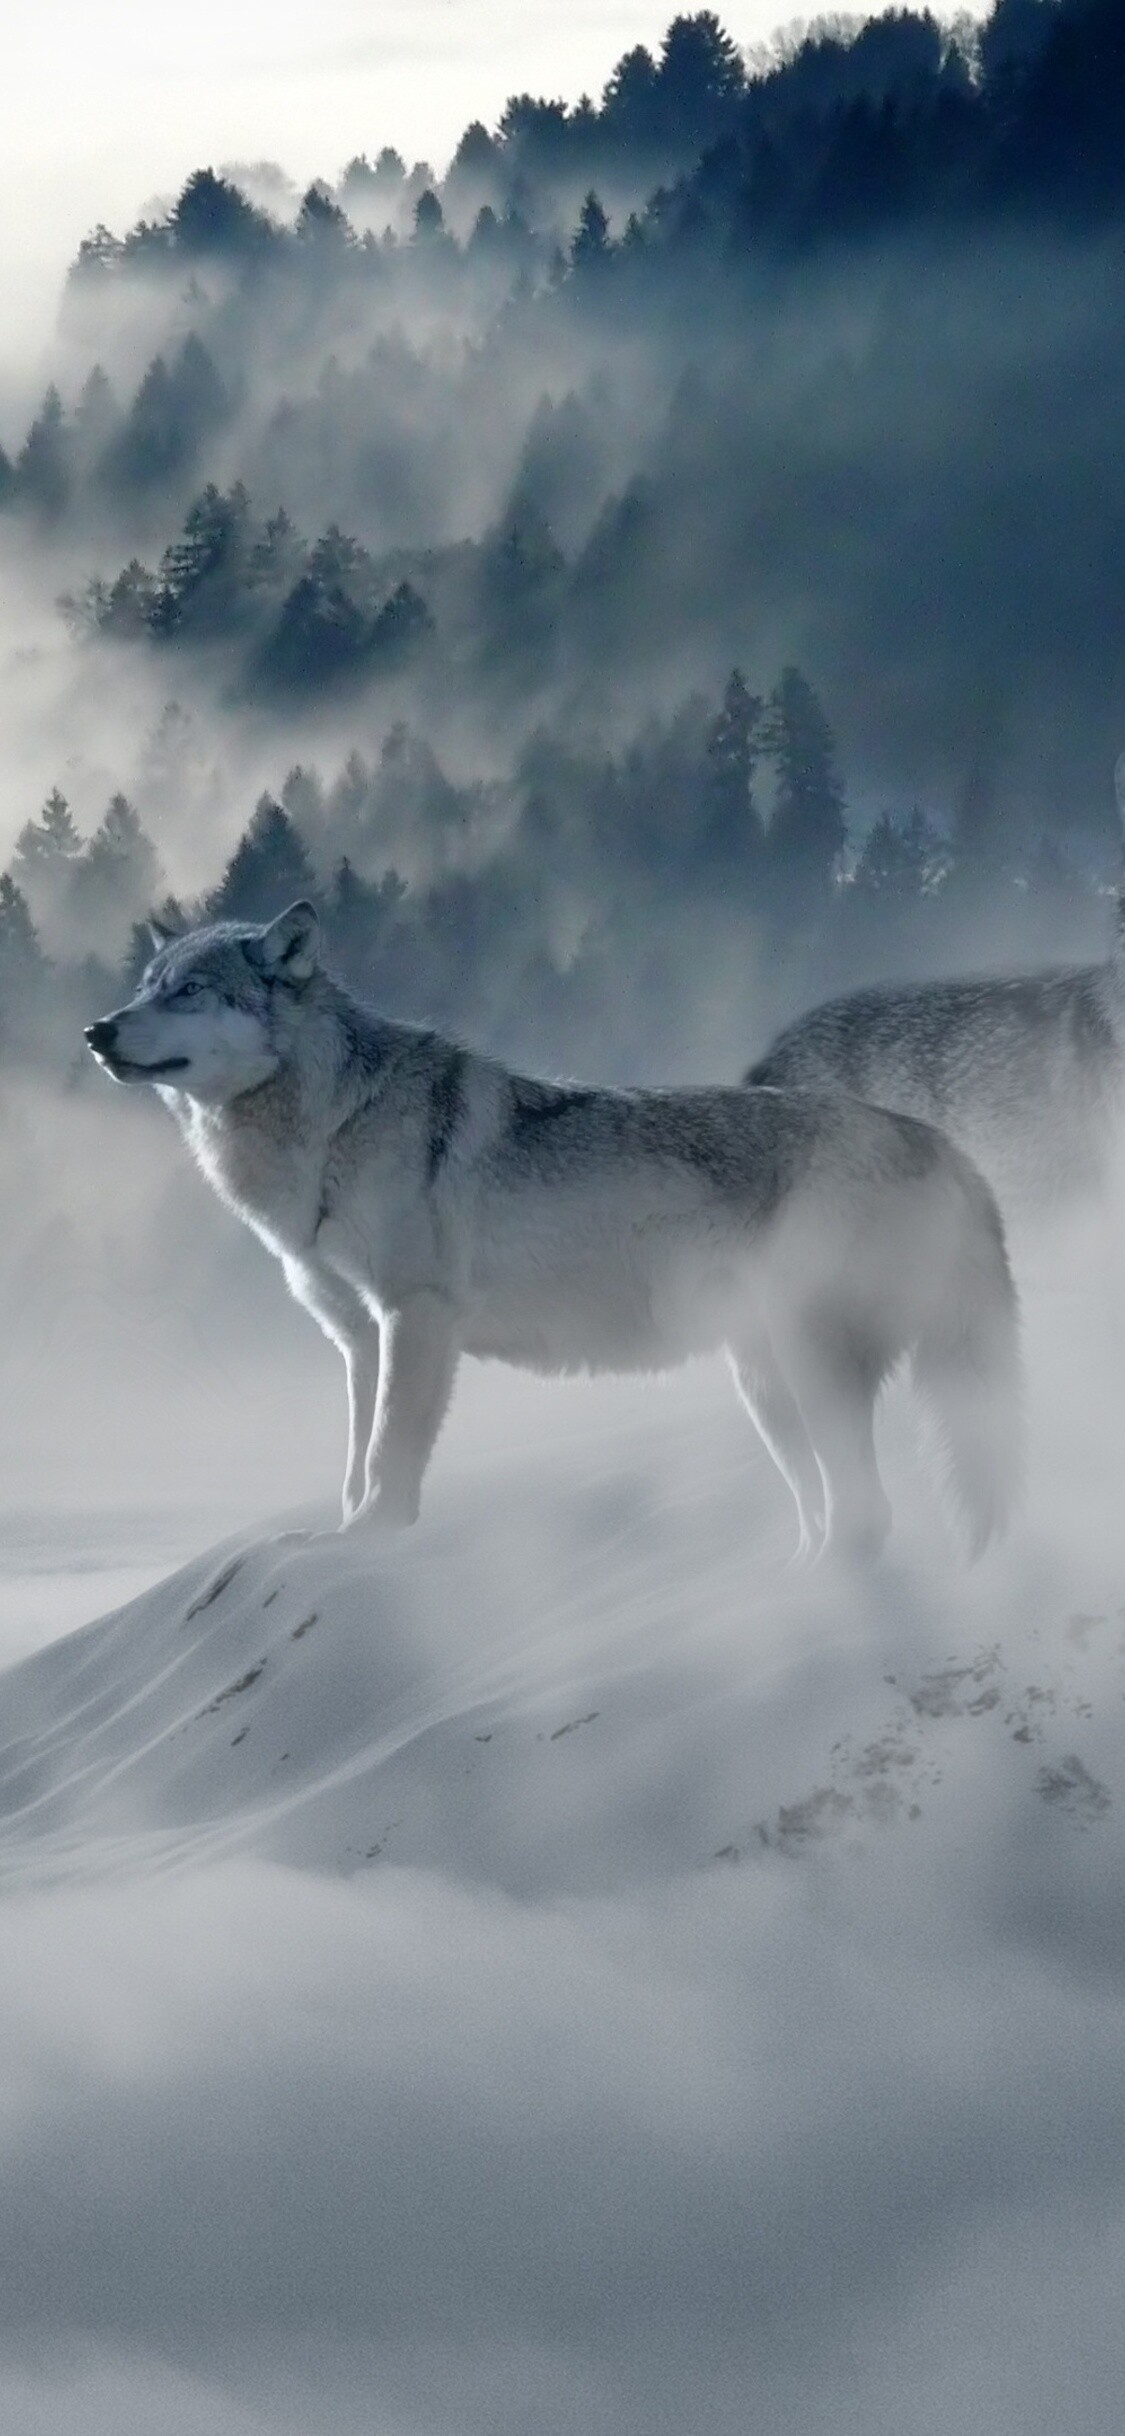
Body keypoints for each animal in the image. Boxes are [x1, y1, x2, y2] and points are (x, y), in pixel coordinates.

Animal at [85, 901, 1022, 1562]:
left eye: (189, 990)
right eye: (145, 985)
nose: (96, 1030)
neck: (330, 1125)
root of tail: (942, 1145)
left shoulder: (415, 1318)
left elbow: (387, 1459)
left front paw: (370, 1542)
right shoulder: (358, 1338)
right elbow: (352, 1463)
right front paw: (335, 1537)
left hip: (806, 1367)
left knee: (867, 1515)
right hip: (764, 1387)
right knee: (830, 1512)